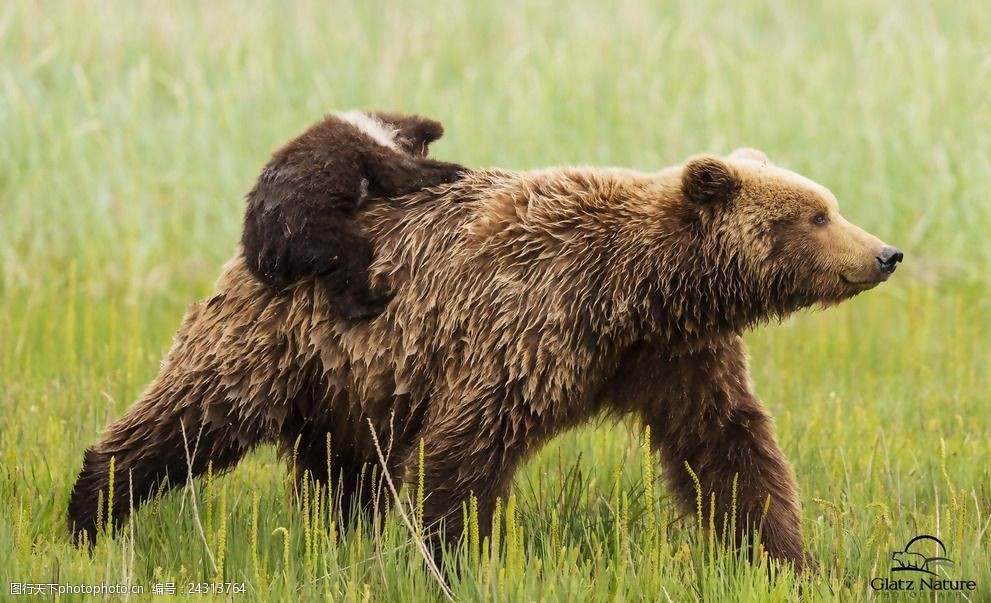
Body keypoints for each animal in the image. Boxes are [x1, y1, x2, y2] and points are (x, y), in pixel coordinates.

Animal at [68, 149, 908, 568]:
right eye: (815, 214)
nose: (884, 252)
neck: (638, 292)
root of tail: (261, 235)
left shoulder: (673, 358)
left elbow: (728, 448)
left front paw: (783, 555)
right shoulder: (530, 325)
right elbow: (468, 448)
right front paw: (450, 556)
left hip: (356, 381)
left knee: (347, 470)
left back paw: (344, 535)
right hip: (282, 340)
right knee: (193, 415)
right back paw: (90, 510)